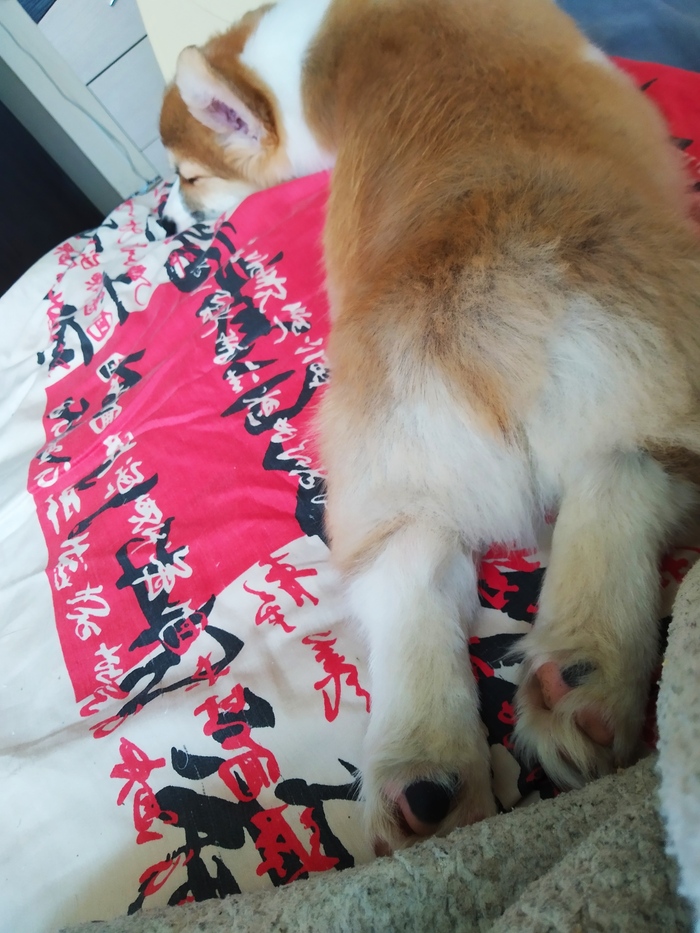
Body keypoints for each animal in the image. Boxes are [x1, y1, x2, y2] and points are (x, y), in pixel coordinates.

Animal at [160, 0, 700, 849]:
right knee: (621, 477)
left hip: (403, 450)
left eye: (189, 176)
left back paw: (436, 766)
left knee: (413, 570)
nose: (166, 213)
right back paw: (574, 686)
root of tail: (491, 292)